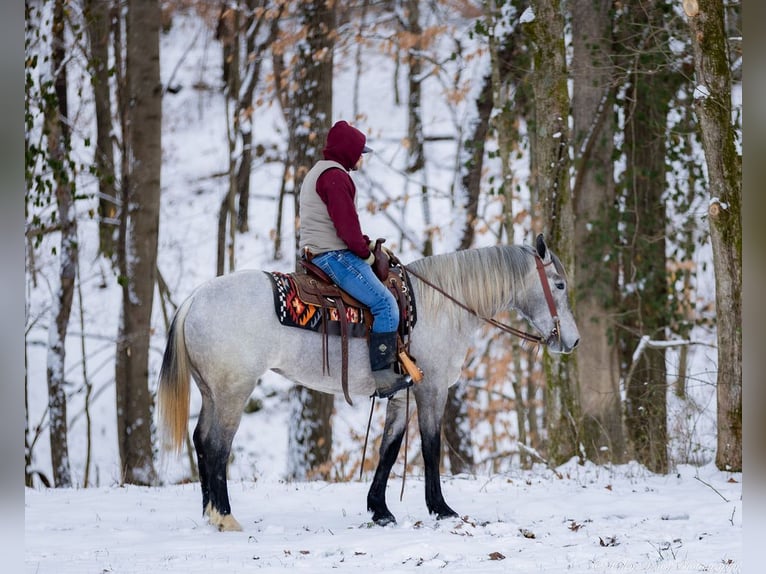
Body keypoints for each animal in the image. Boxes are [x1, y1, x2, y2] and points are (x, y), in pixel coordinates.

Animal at [160, 234, 584, 532]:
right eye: (560, 285)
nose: (573, 341)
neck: (440, 306)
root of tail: (195, 298)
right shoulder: (432, 389)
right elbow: (431, 447)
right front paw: (442, 509)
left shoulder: (400, 392)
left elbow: (389, 448)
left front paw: (380, 510)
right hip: (233, 390)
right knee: (218, 447)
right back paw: (225, 516)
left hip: (212, 391)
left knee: (202, 441)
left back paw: (209, 513)